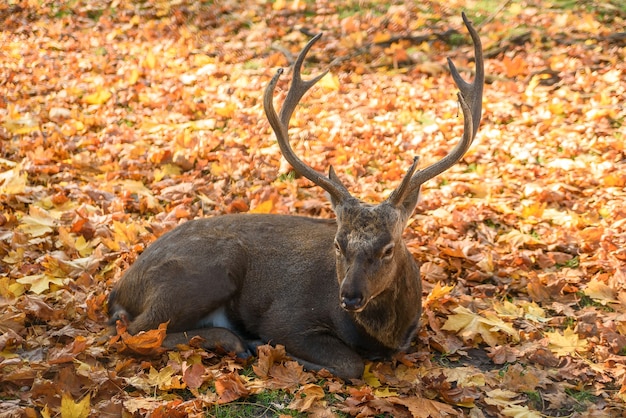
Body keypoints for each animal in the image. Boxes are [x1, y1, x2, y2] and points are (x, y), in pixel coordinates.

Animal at [107, 13, 482, 380]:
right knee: (135, 331)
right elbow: (352, 365)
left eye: (388, 248)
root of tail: (120, 288)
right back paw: (235, 341)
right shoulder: (287, 317)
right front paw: (270, 347)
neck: (384, 336)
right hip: (209, 269)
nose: (349, 297)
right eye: (338, 245)